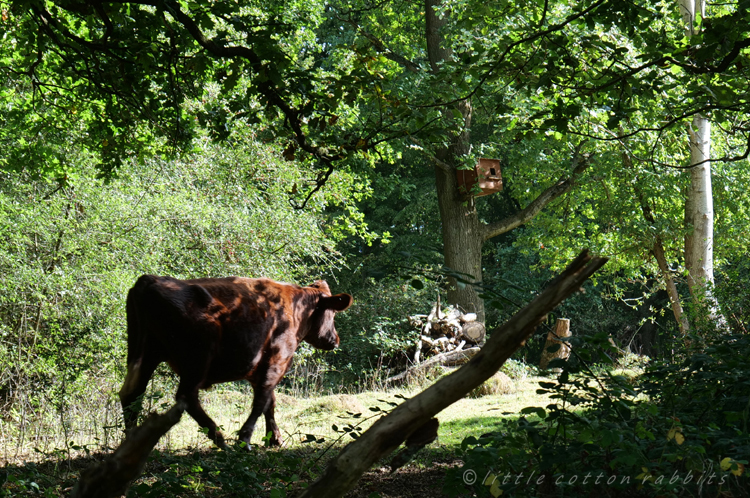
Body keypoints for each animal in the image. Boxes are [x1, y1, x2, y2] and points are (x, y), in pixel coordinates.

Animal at [117, 274, 352, 450]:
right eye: (332, 313)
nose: (335, 339)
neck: (297, 307)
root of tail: (149, 280)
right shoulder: (277, 359)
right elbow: (261, 401)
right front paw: (245, 440)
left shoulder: (261, 368)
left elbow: (270, 402)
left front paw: (274, 439)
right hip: (198, 356)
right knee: (186, 395)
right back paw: (221, 441)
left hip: (144, 353)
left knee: (132, 394)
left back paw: (131, 441)